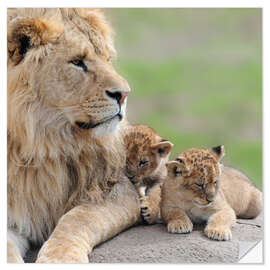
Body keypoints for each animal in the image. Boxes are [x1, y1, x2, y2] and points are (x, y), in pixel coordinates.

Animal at [7, 7, 140, 262]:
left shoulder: (117, 188)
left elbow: (77, 218)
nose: (124, 94)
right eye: (77, 62)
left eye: (107, 59)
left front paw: (60, 258)